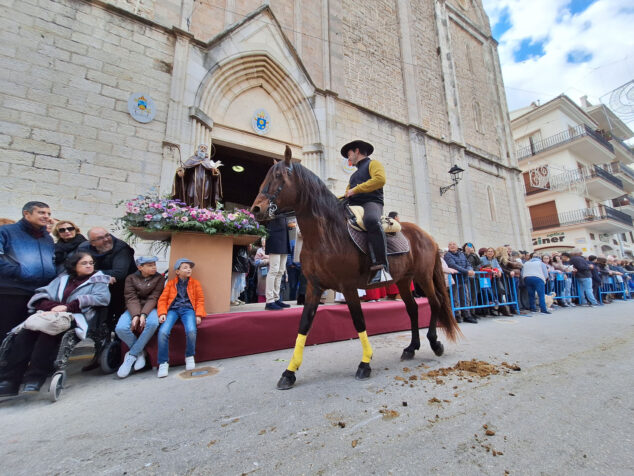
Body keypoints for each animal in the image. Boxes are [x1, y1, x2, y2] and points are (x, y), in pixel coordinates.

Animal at [248, 147, 460, 388]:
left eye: (278, 176)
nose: (256, 208)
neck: (326, 235)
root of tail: (427, 236)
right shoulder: (314, 287)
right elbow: (304, 325)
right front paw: (289, 372)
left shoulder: (348, 287)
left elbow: (359, 322)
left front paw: (365, 363)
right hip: (404, 280)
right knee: (413, 309)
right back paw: (411, 347)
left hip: (423, 277)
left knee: (435, 303)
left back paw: (434, 343)